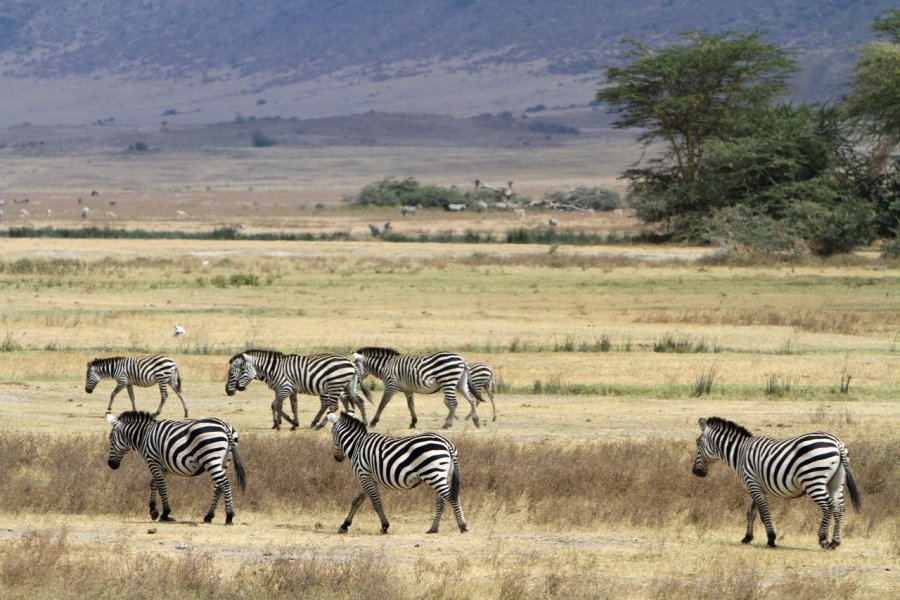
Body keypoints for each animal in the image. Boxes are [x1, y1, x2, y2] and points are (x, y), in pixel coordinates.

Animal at [105, 412, 246, 524]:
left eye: (110, 438)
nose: (111, 464)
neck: (145, 435)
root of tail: (225, 425)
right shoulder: (164, 467)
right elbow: (153, 483)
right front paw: (153, 510)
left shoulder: (152, 460)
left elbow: (161, 485)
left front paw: (164, 513)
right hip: (224, 460)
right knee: (218, 486)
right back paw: (208, 516)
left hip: (211, 458)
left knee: (224, 484)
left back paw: (229, 517)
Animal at [227, 350, 368, 428]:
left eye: (241, 370)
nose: (230, 391)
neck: (273, 369)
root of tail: (351, 363)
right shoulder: (288, 390)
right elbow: (291, 405)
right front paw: (293, 422)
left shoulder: (284, 388)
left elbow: (275, 405)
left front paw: (278, 422)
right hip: (348, 386)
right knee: (358, 401)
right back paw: (364, 422)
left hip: (335, 385)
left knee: (333, 405)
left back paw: (320, 424)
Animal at [326, 412, 468, 536]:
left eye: (332, 434)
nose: (337, 458)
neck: (356, 445)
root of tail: (447, 443)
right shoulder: (369, 477)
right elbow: (357, 500)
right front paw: (344, 525)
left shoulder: (364, 475)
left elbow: (376, 502)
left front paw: (384, 526)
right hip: (443, 476)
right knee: (442, 501)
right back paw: (433, 529)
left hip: (433, 475)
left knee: (452, 498)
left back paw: (462, 526)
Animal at [350, 346, 482, 432]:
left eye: (355, 365)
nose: (353, 379)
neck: (384, 366)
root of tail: (461, 359)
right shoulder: (408, 390)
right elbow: (411, 406)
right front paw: (413, 423)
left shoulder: (391, 385)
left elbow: (382, 404)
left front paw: (373, 422)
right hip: (460, 383)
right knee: (472, 399)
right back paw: (476, 421)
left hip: (448, 381)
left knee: (454, 402)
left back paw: (447, 424)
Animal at [692, 418, 860, 548]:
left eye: (697, 443)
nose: (696, 472)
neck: (740, 452)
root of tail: (837, 443)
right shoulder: (756, 485)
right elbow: (751, 512)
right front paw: (747, 537)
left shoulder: (752, 483)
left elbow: (764, 512)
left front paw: (771, 539)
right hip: (836, 481)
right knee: (840, 508)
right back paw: (835, 542)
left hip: (813, 479)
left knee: (828, 506)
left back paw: (823, 539)